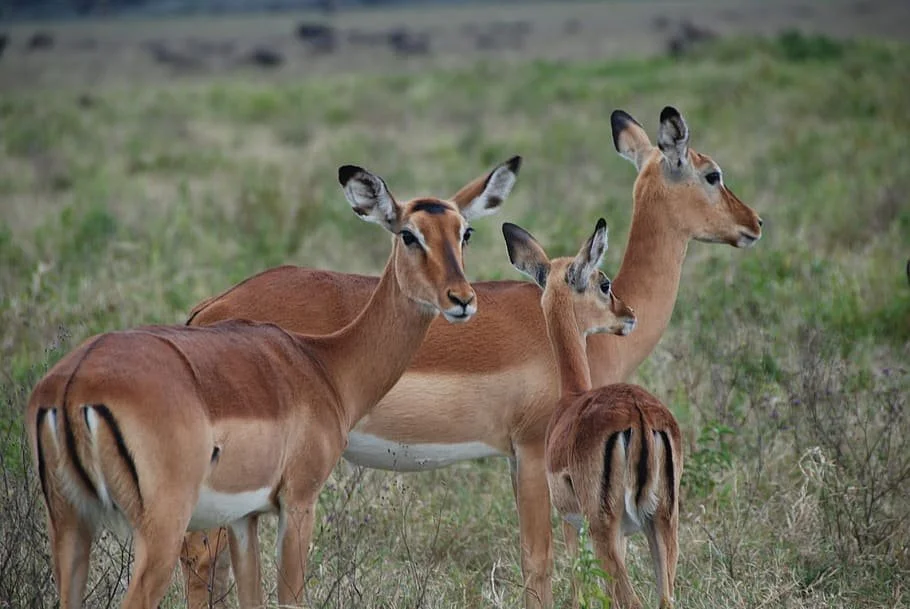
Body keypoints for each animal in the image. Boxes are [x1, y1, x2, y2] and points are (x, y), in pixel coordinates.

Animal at [26, 157, 521, 609]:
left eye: (465, 233)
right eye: (408, 234)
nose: (461, 299)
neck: (324, 363)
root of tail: (73, 385)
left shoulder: (245, 517)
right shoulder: (299, 501)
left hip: (70, 525)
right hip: (160, 529)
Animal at [503, 218, 681, 609]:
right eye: (605, 283)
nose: (629, 315)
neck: (572, 396)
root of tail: (639, 416)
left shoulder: (572, 523)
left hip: (605, 528)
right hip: (662, 521)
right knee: (664, 599)